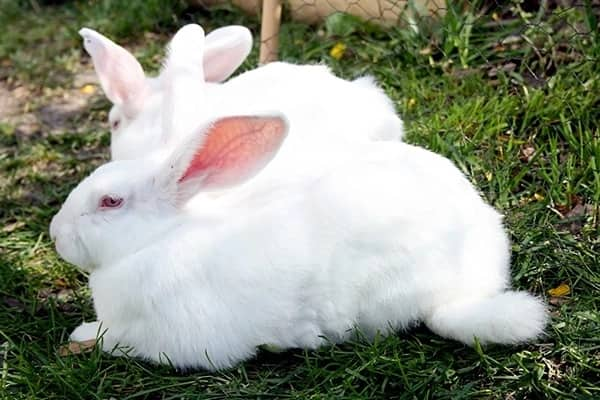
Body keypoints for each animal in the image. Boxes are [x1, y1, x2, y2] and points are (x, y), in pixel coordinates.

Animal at [50, 104, 548, 370]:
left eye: (110, 202)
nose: (56, 234)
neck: (158, 240)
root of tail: (468, 286)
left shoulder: (162, 339)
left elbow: (114, 342)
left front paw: (81, 336)